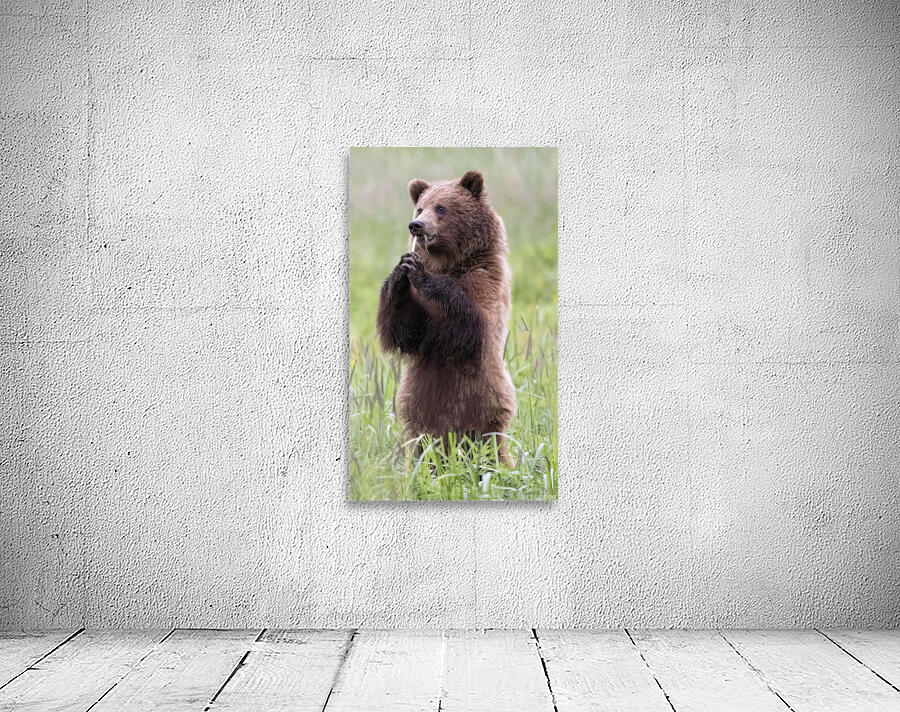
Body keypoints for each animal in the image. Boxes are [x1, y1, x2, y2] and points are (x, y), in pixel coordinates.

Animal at [376, 170, 517, 466]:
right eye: (420, 207)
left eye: (441, 207)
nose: (416, 225)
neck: (450, 264)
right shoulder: (421, 315)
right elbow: (408, 330)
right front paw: (400, 272)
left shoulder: (487, 280)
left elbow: (473, 325)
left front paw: (421, 273)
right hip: (419, 411)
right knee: (424, 447)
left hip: (486, 405)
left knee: (490, 447)